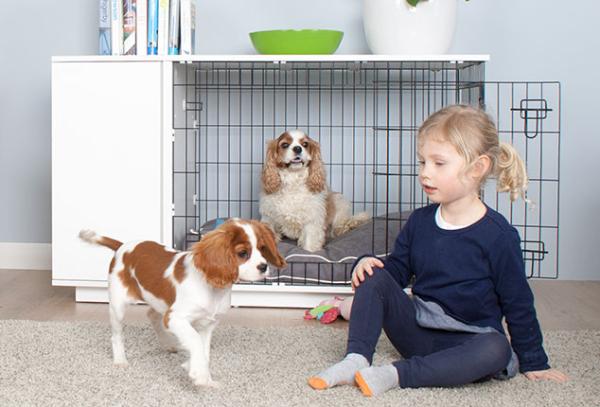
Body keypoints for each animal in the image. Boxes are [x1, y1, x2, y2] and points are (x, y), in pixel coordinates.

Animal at [79, 220, 286, 388]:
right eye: (243, 253)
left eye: (262, 248)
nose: (264, 267)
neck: (214, 288)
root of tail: (123, 246)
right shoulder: (175, 318)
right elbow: (195, 341)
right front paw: (199, 374)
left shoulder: (207, 324)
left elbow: (204, 350)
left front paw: (202, 374)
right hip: (118, 306)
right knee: (117, 335)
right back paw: (120, 360)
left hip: (159, 302)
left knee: (152, 315)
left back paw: (167, 343)